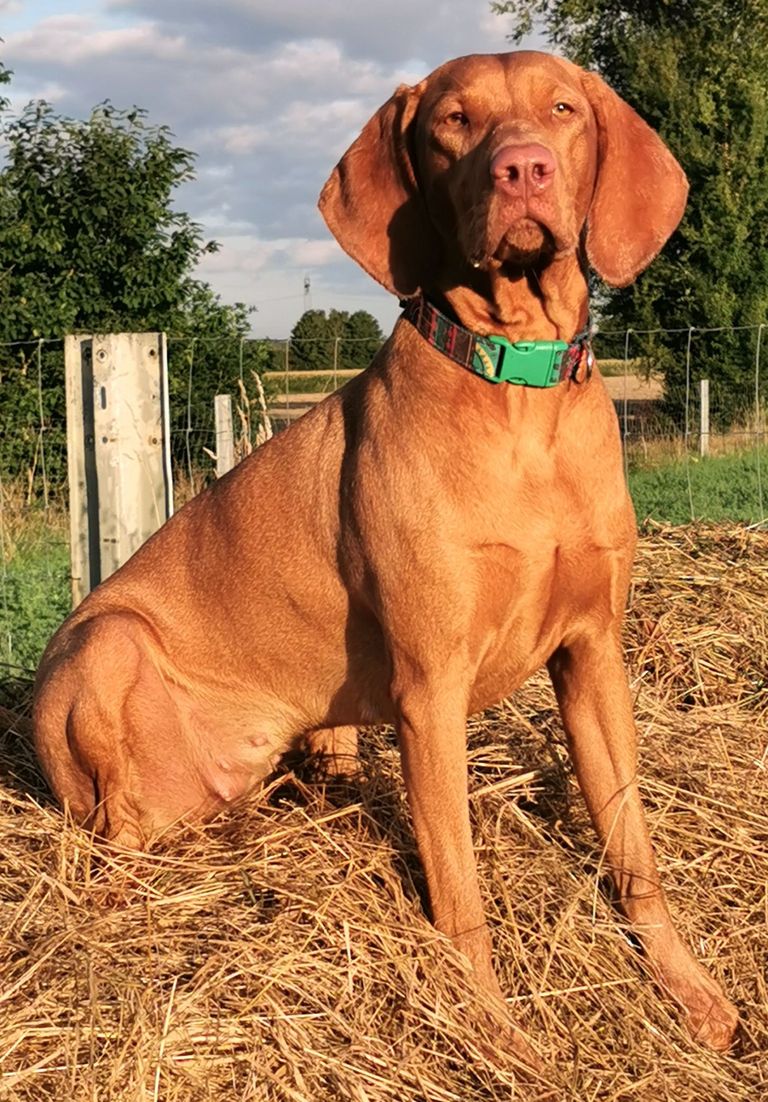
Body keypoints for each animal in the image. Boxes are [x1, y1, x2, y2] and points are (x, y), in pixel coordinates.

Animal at [34, 51, 738, 1061]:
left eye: (564, 109)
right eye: (453, 121)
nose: (522, 169)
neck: (517, 392)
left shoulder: (594, 653)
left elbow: (632, 843)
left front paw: (690, 992)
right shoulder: (429, 688)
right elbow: (458, 888)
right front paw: (492, 1032)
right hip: (104, 647)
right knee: (113, 834)